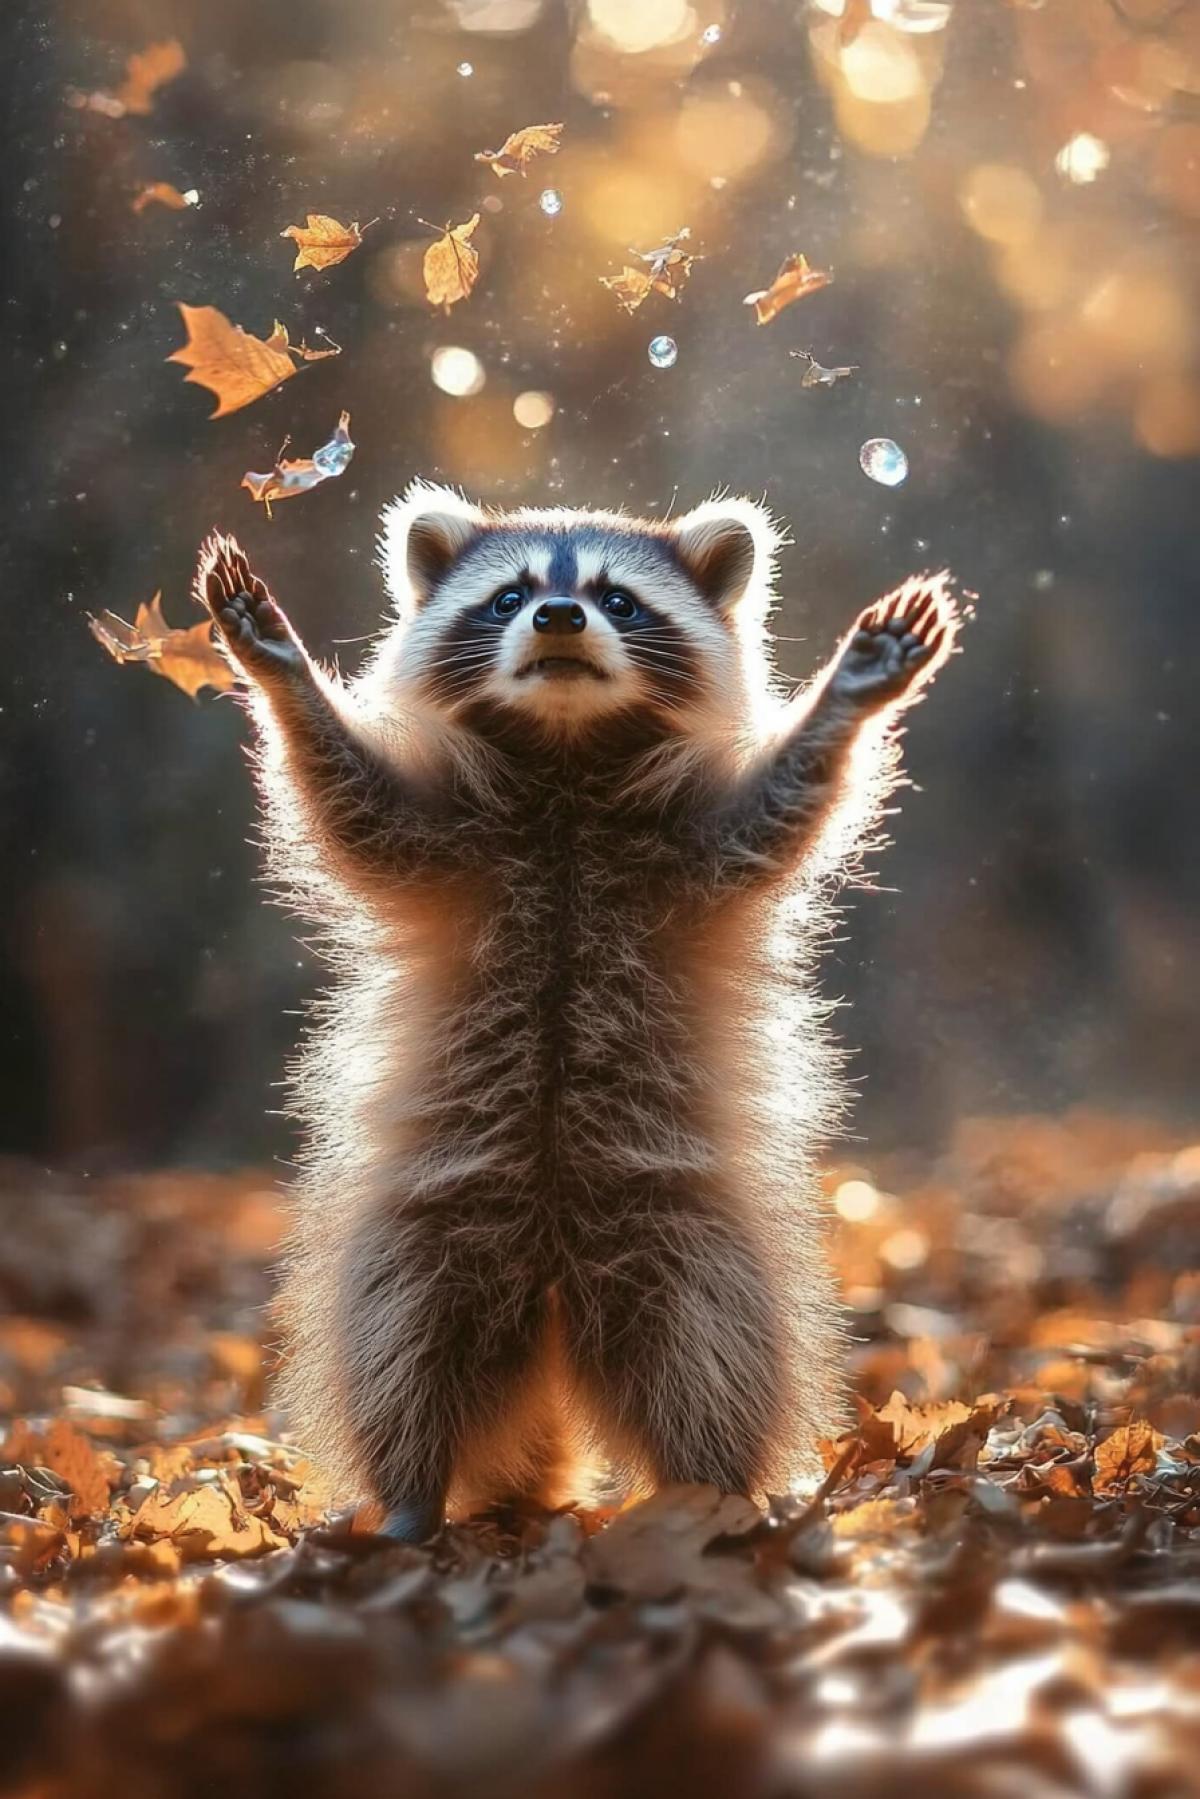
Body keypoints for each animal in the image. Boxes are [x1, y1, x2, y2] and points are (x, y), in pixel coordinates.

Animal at [197, 487, 958, 1540]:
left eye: (618, 599)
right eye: (512, 594)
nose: (559, 617)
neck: (563, 763)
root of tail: (553, 1302)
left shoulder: (687, 847)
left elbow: (782, 812)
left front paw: (847, 698)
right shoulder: (448, 839)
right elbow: (347, 802)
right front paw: (284, 675)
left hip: (686, 1224)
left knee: (713, 1352)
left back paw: (715, 1486)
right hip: (428, 1214)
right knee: (397, 1346)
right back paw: (410, 1492)